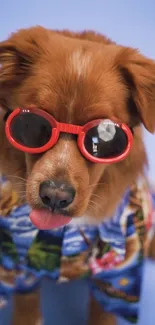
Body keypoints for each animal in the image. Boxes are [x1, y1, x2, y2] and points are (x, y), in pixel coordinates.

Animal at [0, 26, 155, 324]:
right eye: (31, 125)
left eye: (105, 137)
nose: (55, 196)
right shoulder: (16, 264)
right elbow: (26, 307)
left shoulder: (118, 276)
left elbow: (103, 314)